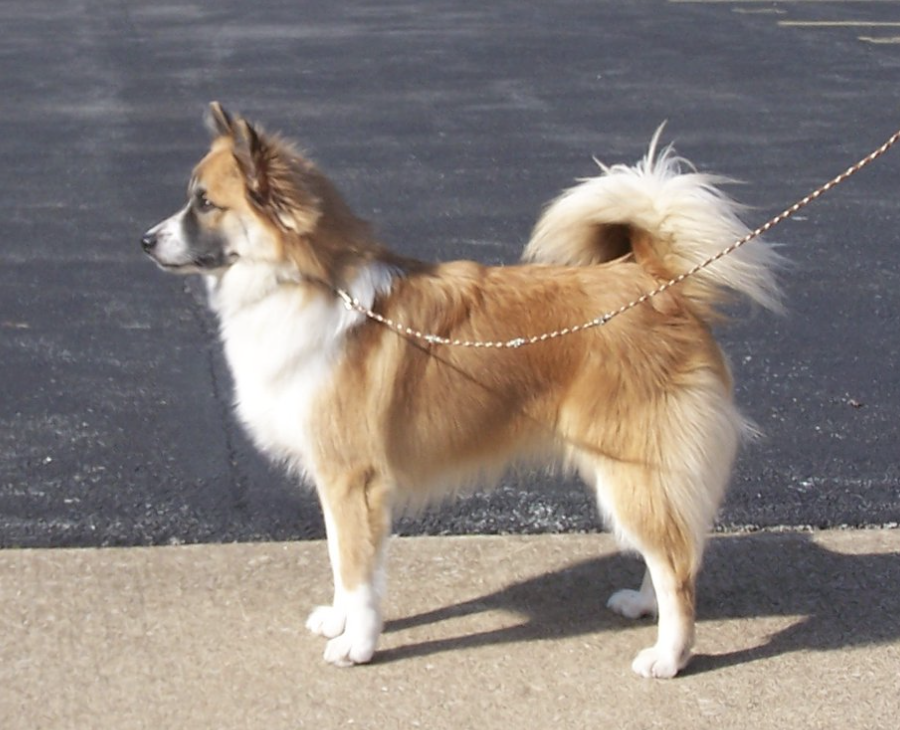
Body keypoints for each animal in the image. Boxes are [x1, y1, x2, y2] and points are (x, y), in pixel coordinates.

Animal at [141, 102, 780, 676]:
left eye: (205, 203)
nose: (145, 241)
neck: (305, 284)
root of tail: (658, 285)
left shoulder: (354, 480)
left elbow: (357, 570)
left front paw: (358, 646)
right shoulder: (338, 481)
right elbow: (343, 563)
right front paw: (342, 622)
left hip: (632, 467)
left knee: (677, 567)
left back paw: (669, 657)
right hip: (636, 470)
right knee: (670, 553)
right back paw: (644, 605)